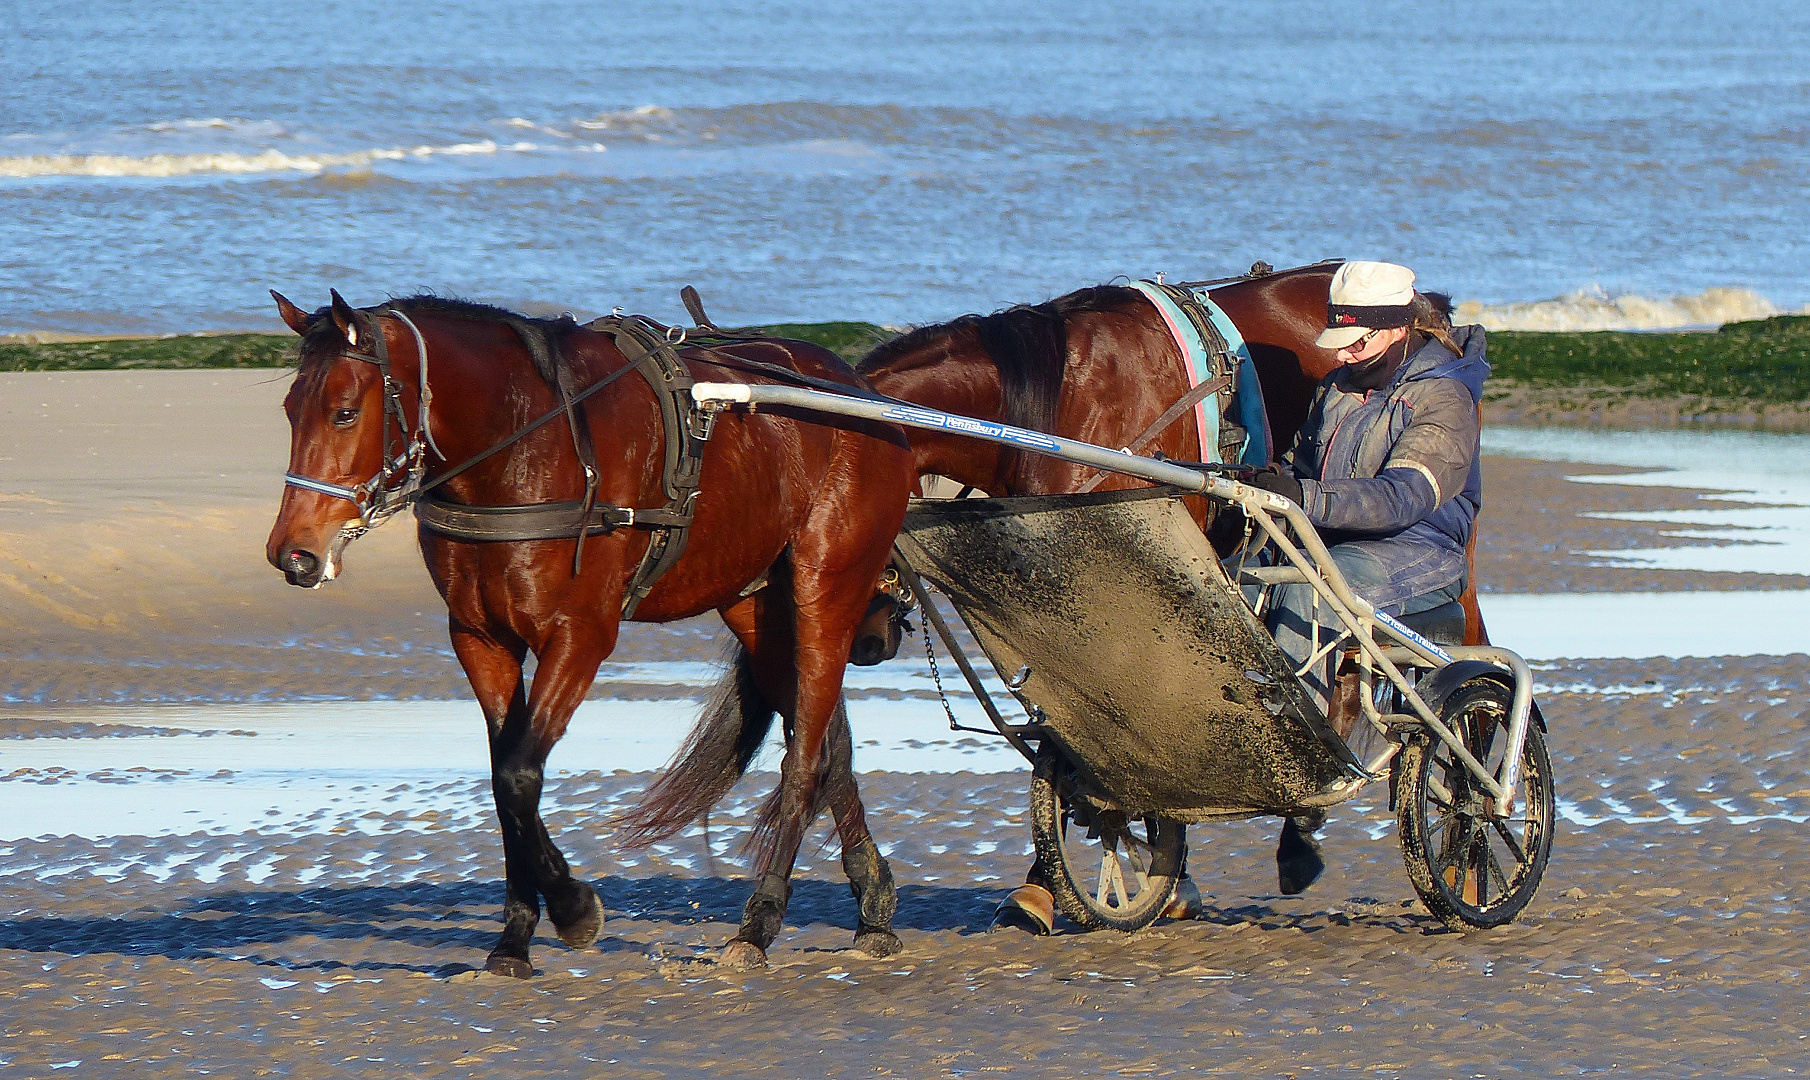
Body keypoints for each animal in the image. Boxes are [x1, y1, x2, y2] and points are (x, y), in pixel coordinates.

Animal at [264, 291, 919, 969]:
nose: (294, 553)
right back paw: (872, 900)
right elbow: (504, 781)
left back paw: (759, 920)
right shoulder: (480, 639)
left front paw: (572, 907)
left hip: (826, 587)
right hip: (753, 601)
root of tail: (862, 392)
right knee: (827, 743)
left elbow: (520, 777)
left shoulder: (579, 636)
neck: (528, 445)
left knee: (806, 757)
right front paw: (515, 935)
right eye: (290, 409)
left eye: (344, 412)